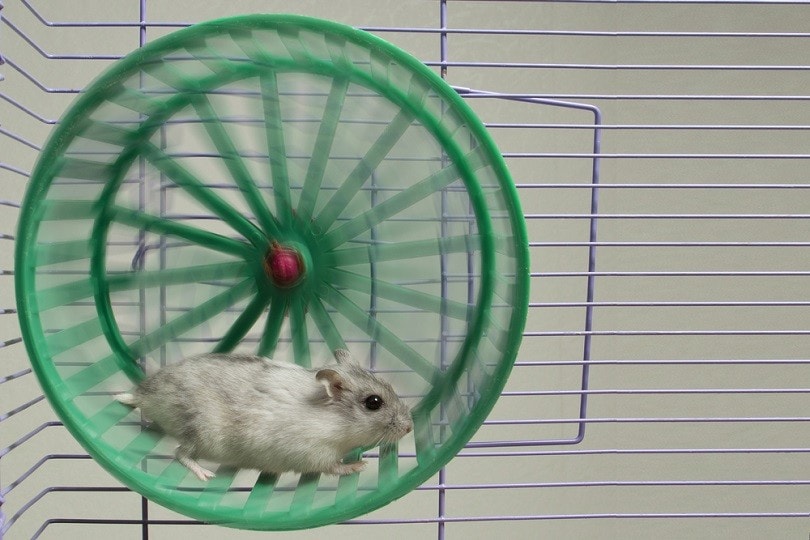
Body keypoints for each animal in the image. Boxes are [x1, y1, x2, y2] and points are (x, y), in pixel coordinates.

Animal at [116, 349, 413, 481]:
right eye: (374, 402)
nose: (410, 427)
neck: (335, 423)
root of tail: (145, 394)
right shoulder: (314, 454)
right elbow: (333, 467)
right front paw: (359, 466)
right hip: (201, 434)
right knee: (180, 454)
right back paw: (206, 475)